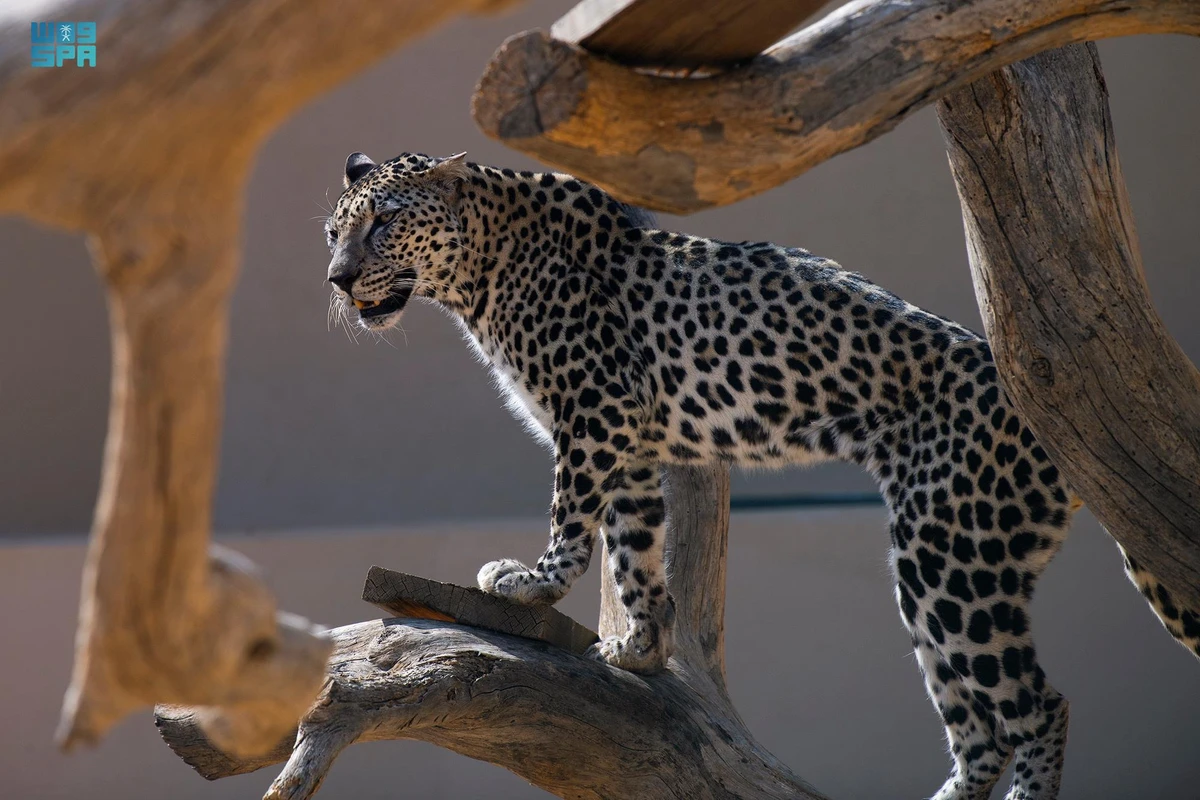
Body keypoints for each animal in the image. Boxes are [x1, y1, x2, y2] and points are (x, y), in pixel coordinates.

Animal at [323, 151, 1200, 800]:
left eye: (385, 223)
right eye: (334, 230)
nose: (336, 279)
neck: (480, 269)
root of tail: (1055, 411)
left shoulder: (593, 416)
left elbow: (574, 517)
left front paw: (532, 586)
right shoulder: (630, 441)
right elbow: (635, 546)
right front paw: (639, 645)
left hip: (954, 557)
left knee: (1038, 707)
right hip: (935, 569)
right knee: (979, 725)